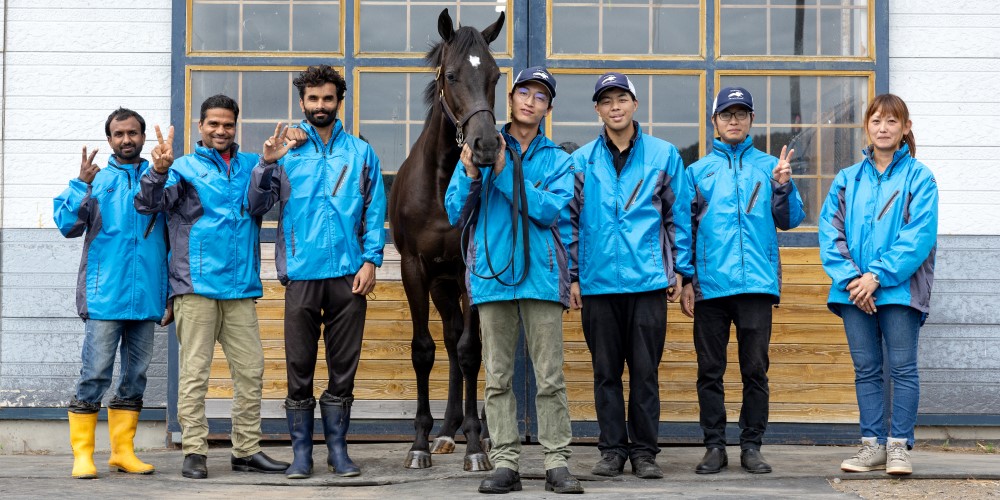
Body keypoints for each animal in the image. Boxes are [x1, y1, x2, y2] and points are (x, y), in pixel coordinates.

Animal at [386, 8, 504, 472]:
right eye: (451, 75)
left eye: (495, 75)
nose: (486, 145)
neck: (441, 189)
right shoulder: (414, 269)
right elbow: (424, 350)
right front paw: (419, 442)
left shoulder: (472, 270)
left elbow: (473, 351)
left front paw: (476, 446)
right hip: (441, 285)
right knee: (450, 340)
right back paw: (447, 431)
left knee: (467, 346)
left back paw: (476, 431)